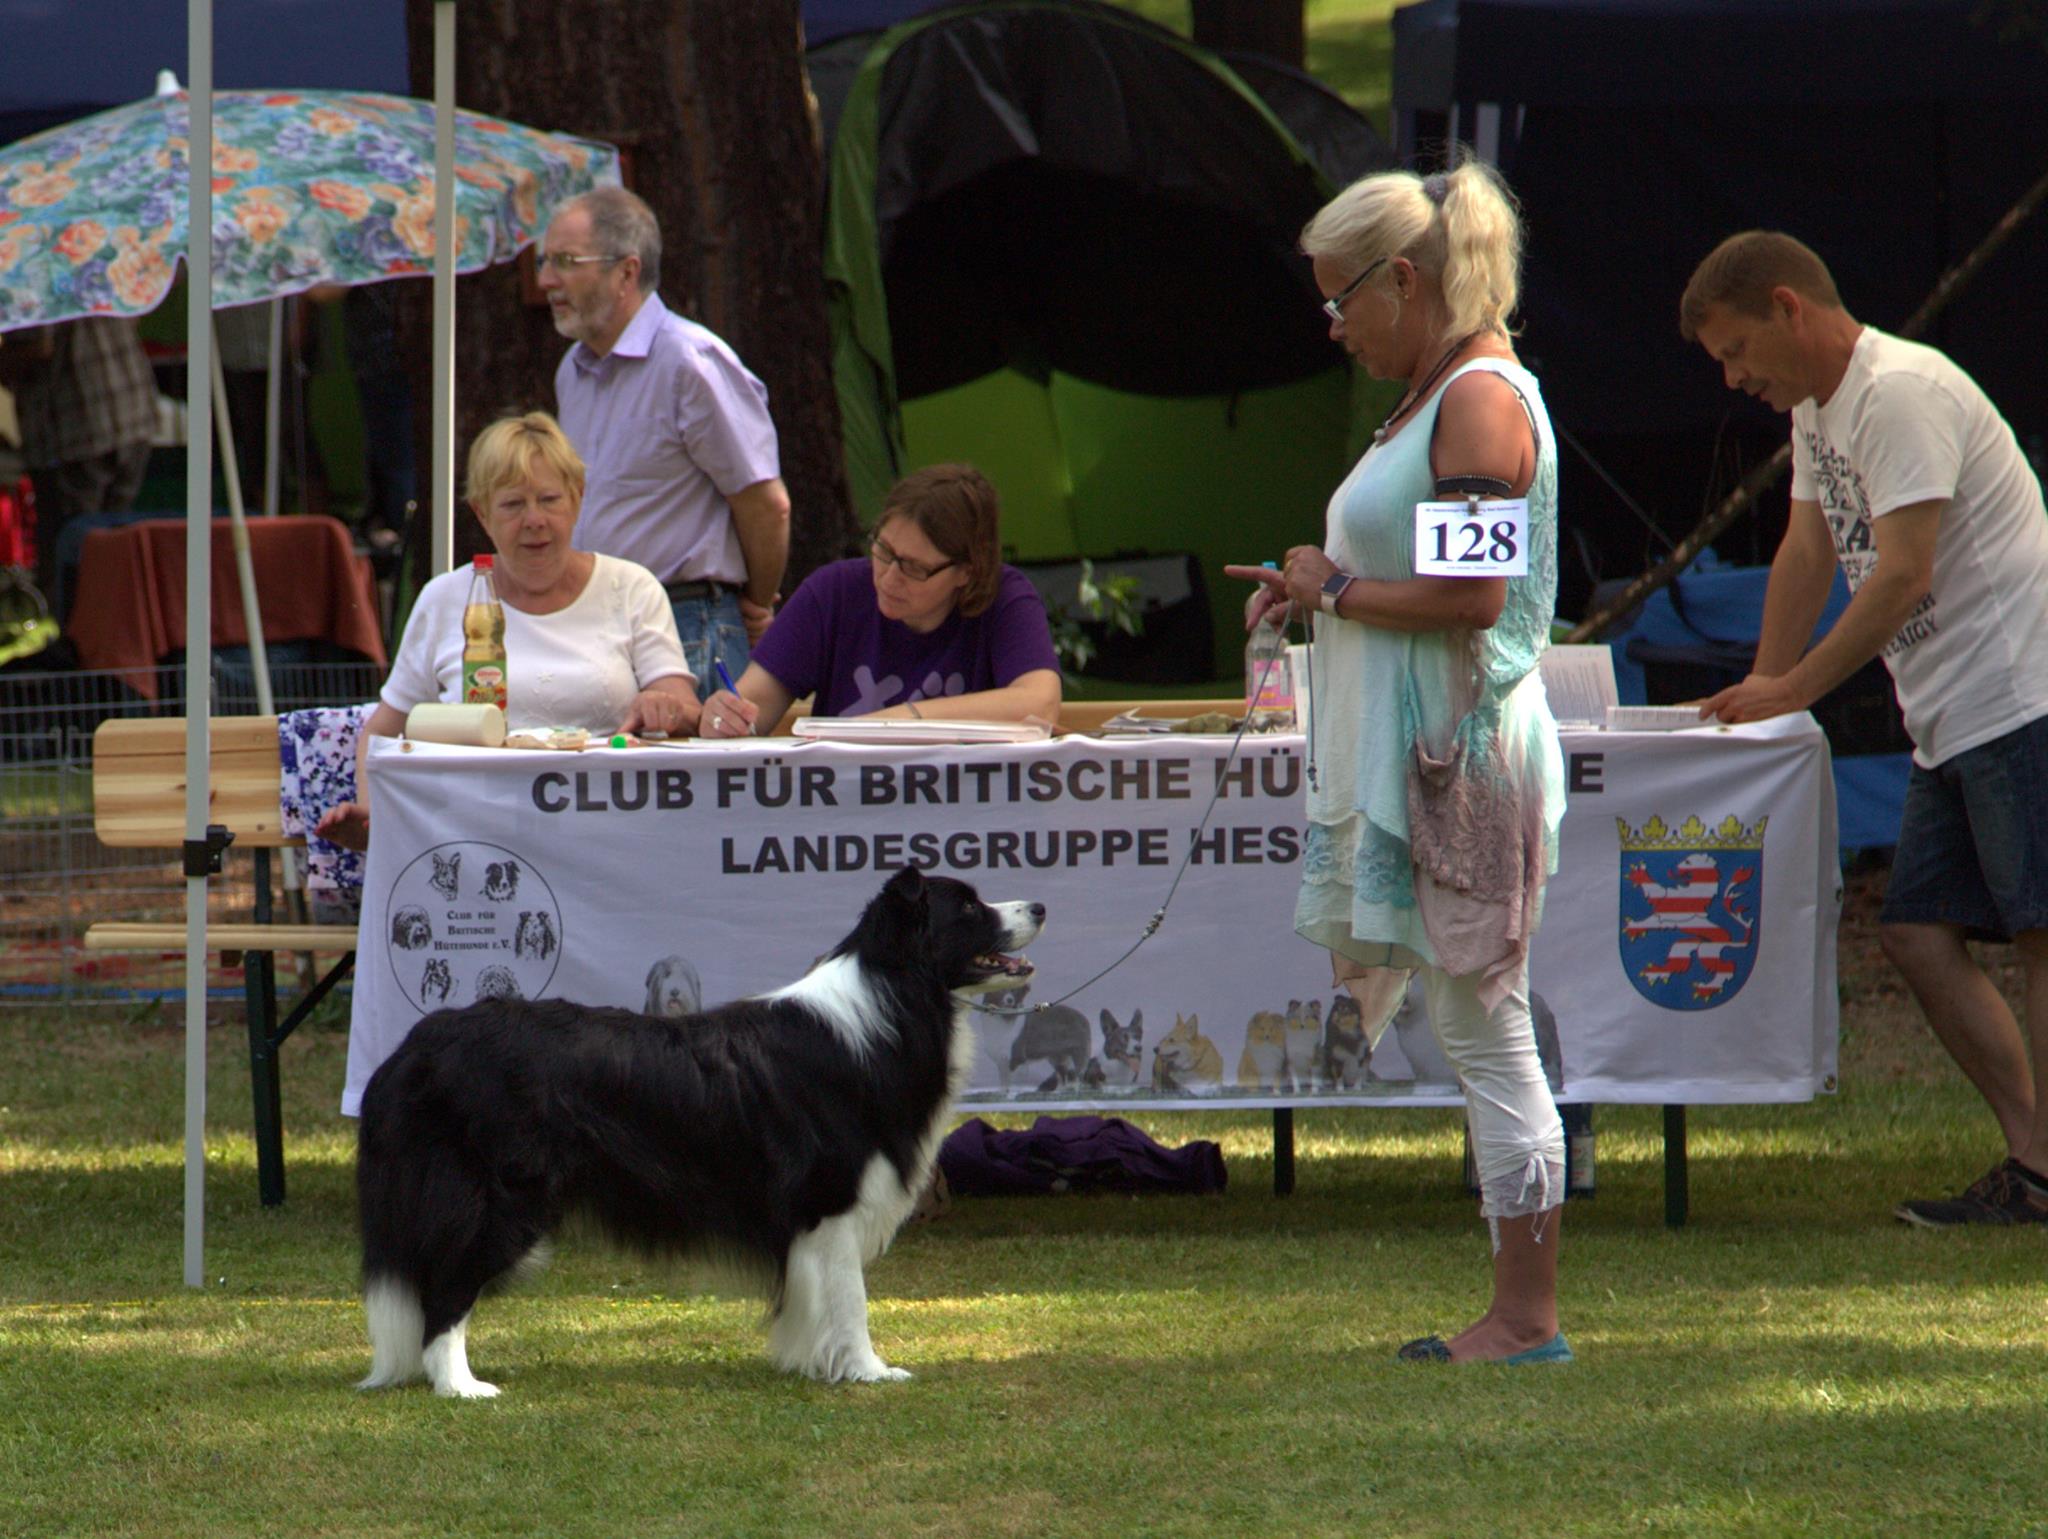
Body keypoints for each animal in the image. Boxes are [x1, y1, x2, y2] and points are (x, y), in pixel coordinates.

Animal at [350, 877, 1040, 1393]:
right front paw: (869, 1371)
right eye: (968, 907)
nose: (1039, 906)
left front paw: (809, 1361)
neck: (892, 992)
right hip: (499, 1197)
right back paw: (462, 1387)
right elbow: (851, 1297)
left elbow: (812, 1298)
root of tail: (416, 1047)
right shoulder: (832, 1201)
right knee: (445, 1289)